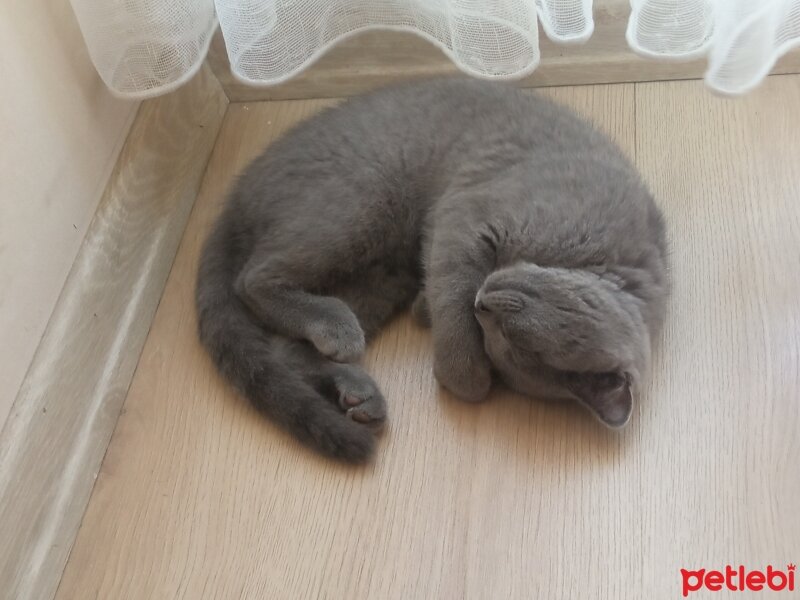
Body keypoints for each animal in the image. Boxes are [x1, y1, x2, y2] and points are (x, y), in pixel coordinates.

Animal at [195, 77, 668, 462]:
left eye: (506, 341)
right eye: (514, 314)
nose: (484, 304)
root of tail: (237, 189)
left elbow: (443, 293)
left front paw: (426, 310)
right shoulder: (468, 221)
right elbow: (463, 359)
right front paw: (460, 370)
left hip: (381, 275)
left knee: (284, 350)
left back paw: (358, 394)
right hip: (362, 200)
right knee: (252, 279)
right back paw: (335, 329)